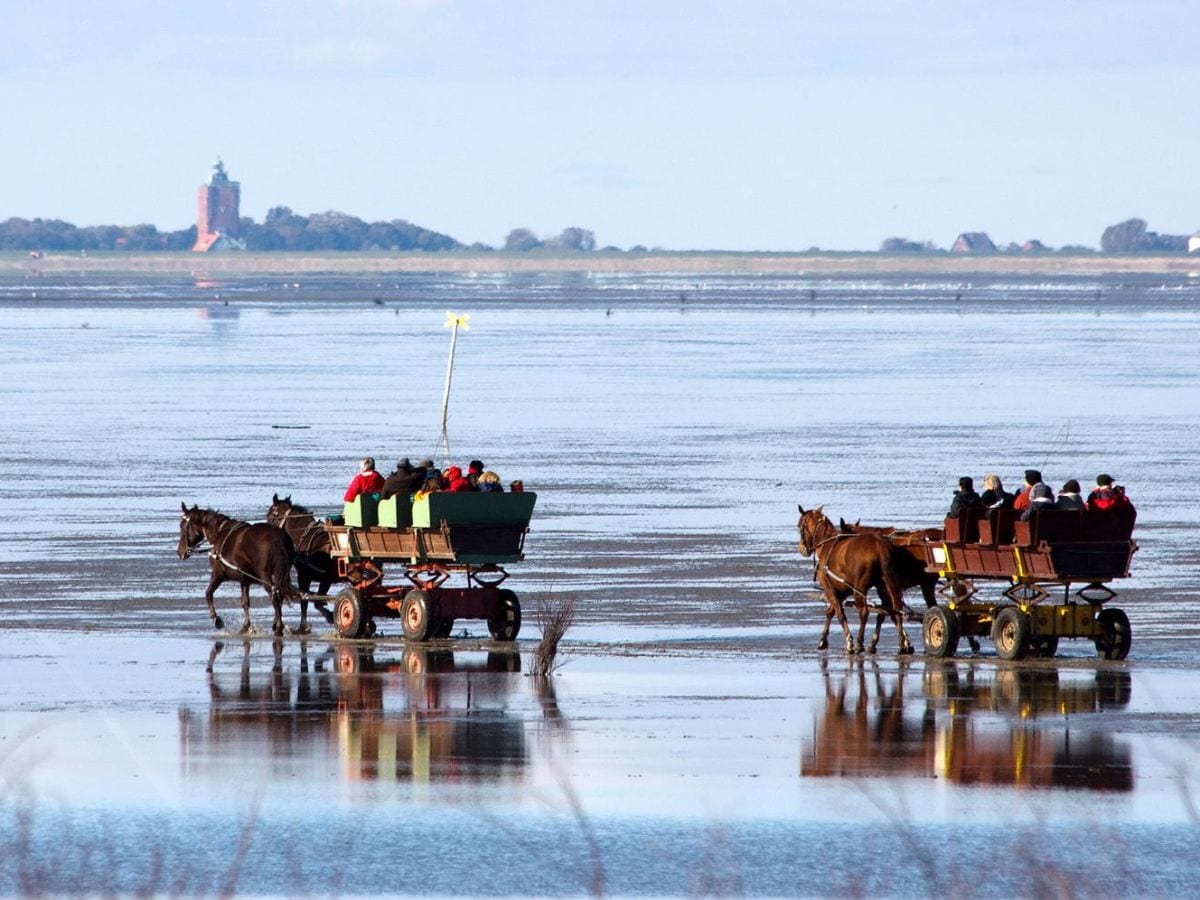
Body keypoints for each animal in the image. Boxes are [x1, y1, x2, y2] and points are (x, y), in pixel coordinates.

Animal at [177, 504, 300, 638]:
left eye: (182, 526)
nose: (180, 551)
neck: (219, 533)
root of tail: (277, 537)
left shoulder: (218, 575)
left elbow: (208, 593)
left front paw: (217, 619)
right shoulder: (244, 579)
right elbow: (245, 602)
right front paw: (246, 626)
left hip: (265, 576)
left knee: (275, 596)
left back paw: (278, 627)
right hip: (282, 575)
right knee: (280, 593)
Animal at [796, 508, 907, 657]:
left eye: (800, 526)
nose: (801, 548)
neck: (826, 544)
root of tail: (878, 546)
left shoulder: (830, 589)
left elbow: (840, 614)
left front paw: (849, 642)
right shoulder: (842, 591)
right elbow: (830, 611)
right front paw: (823, 639)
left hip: (859, 588)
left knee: (864, 612)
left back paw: (860, 643)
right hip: (887, 583)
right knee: (895, 609)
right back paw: (902, 643)